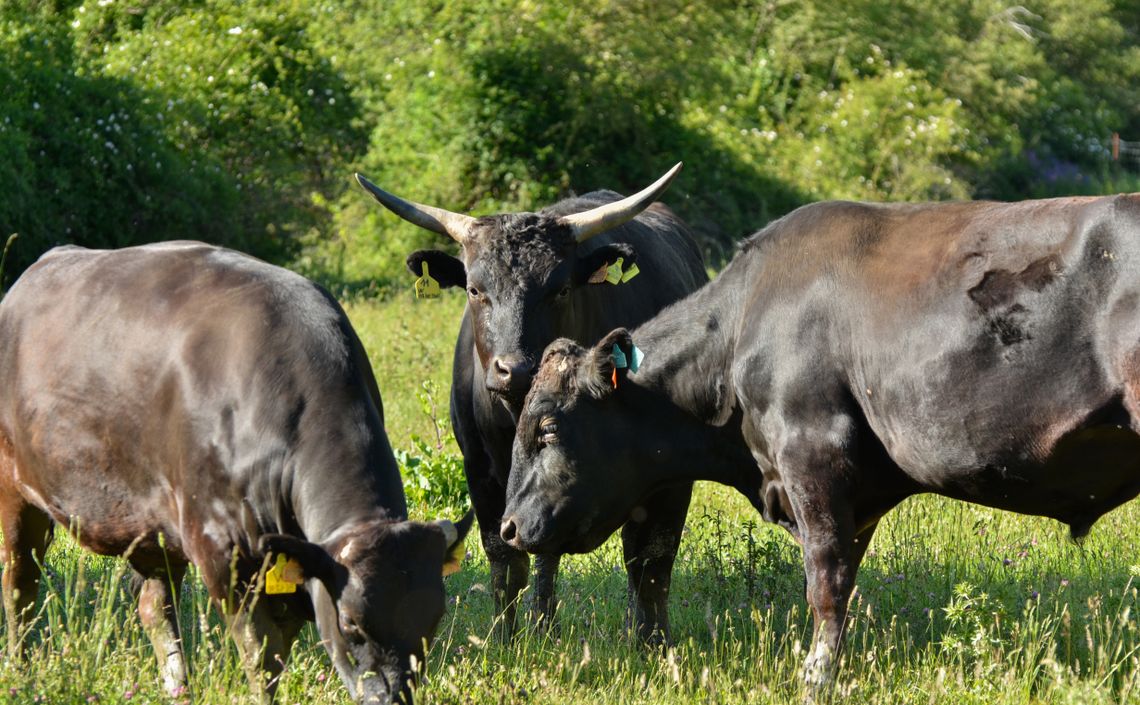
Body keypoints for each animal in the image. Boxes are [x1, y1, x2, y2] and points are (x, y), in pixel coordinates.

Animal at [0, 242, 471, 702]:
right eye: (351, 622)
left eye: (432, 621)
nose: (392, 697)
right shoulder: (222, 552)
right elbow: (261, 659)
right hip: (15, 491)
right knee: (20, 585)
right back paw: (21, 671)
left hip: (152, 523)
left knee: (155, 604)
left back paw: (178, 688)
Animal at [355, 166, 706, 643]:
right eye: (474, 289)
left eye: (560, 289)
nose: (515, 369)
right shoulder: (481, 470)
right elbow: (506, 557)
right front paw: (508, 637)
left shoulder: (666, 475)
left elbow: (650, 559)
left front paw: (650, 641)